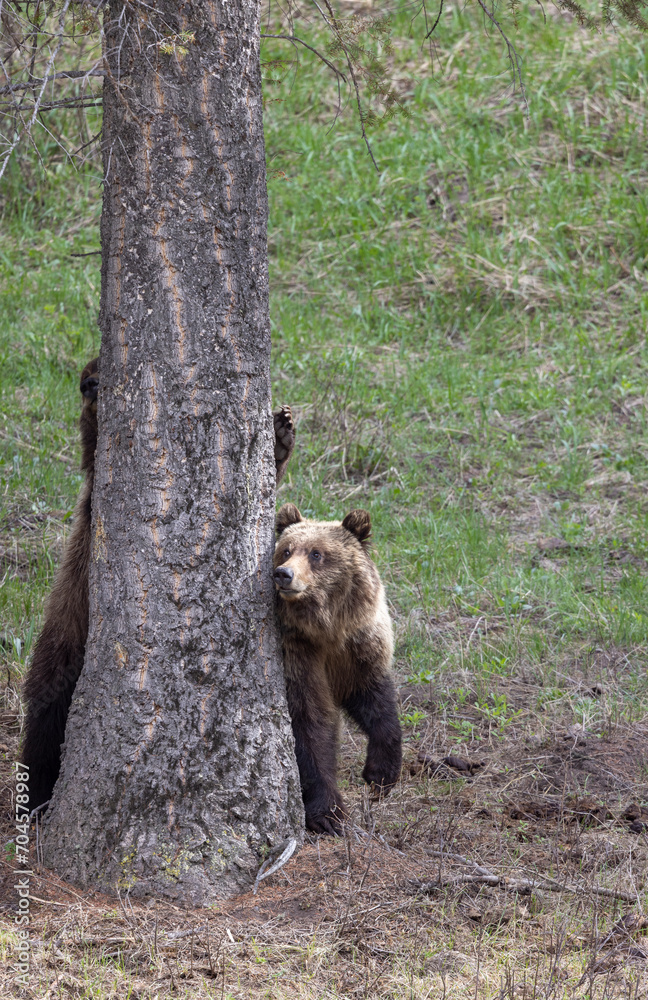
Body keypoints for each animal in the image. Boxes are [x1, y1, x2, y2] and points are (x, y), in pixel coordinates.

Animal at [273, 503, 402, 835]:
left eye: (316, 553)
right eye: (286, 550)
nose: (284, 574)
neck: (326, 630)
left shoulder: (359, 648)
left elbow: (377, 702)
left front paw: (380, 774)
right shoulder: (299, 655)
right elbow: (310, 725)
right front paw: (329, 814)